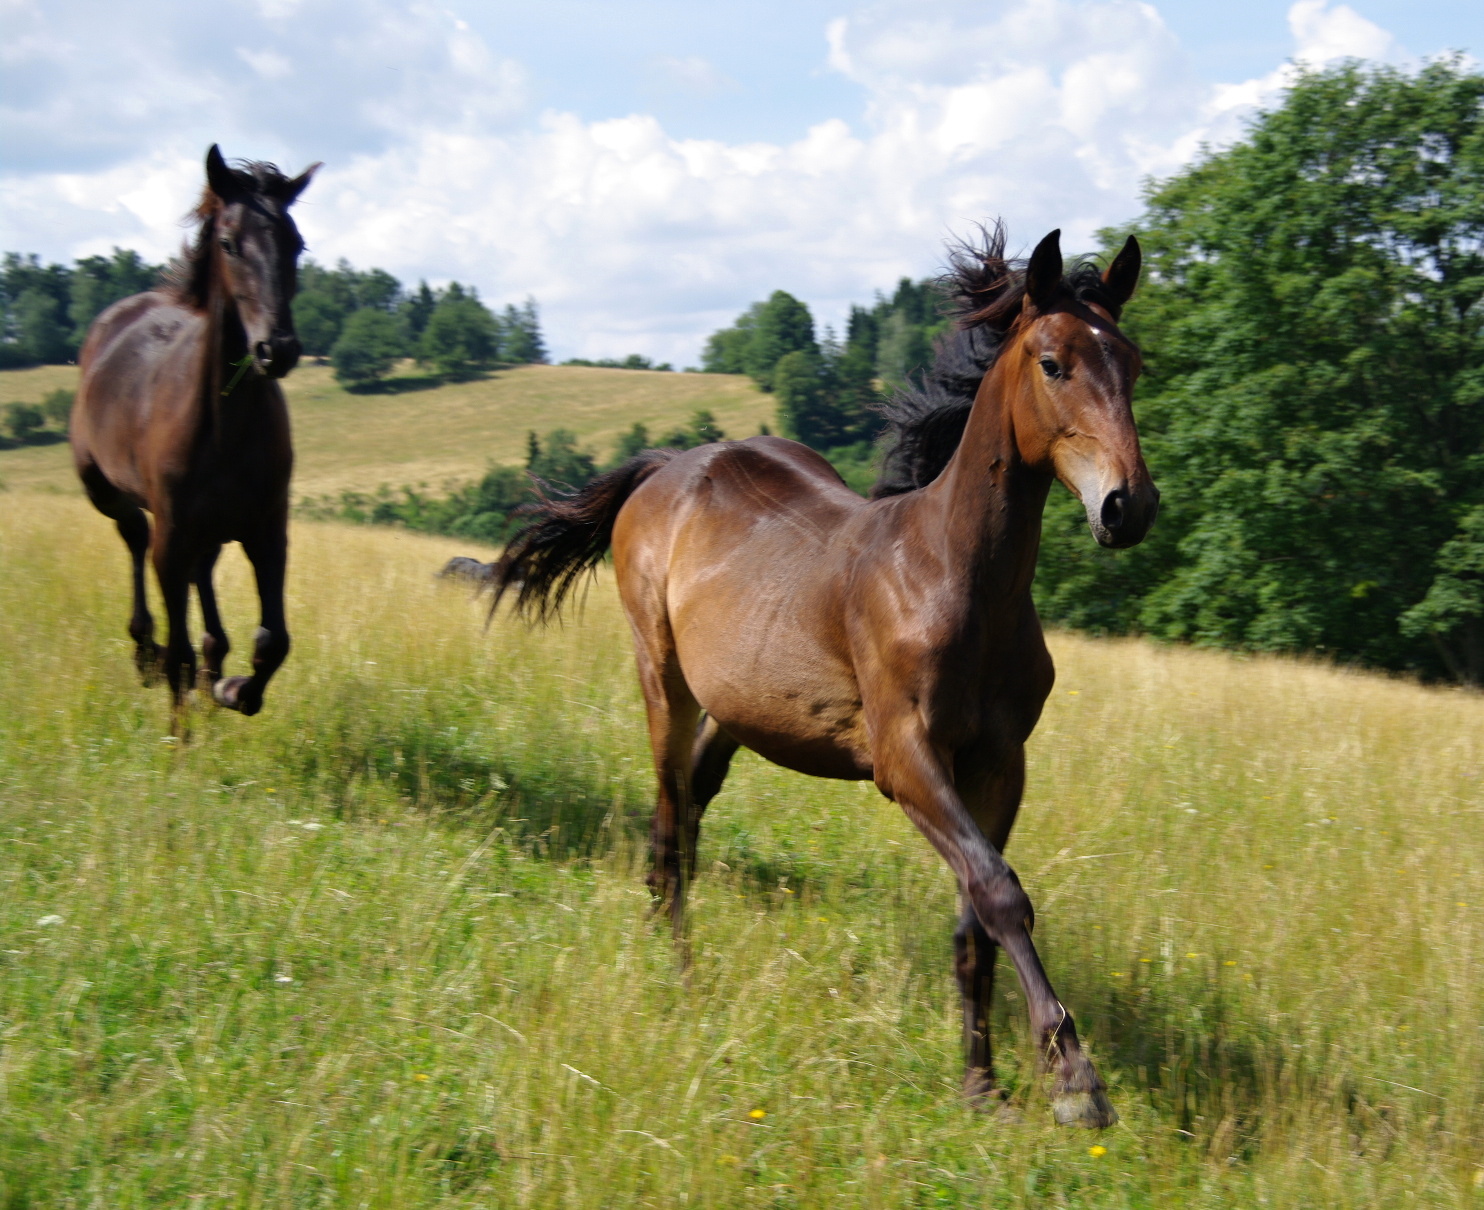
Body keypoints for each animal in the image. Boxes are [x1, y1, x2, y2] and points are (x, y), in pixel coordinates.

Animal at [69, 144, 319, 727]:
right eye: (228, 243)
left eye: (295, 243)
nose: (277, 348)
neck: (224, 428)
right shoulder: (173, 533)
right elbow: (178, 653)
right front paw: (179, 735)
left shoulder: (267, 530)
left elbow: (273, 641)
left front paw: (232, 689)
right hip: (107, 492)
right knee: (135, 536)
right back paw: (146, 649)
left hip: (211, 529)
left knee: (200, 579)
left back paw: (211, 667)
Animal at [498, 224, 1157, 1128]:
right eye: (1054, 362)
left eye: (1133, 364)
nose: (1129, 507)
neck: (954, 575)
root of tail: (670, 466)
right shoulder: (905, 759)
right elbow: (999, 891)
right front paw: (1076, 1081)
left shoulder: (999, 762)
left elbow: (976, 919)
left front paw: (982, 1086)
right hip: (661, 678)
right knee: (667, 820)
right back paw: (677, 978)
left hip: (736, 712)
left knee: (688, 817)